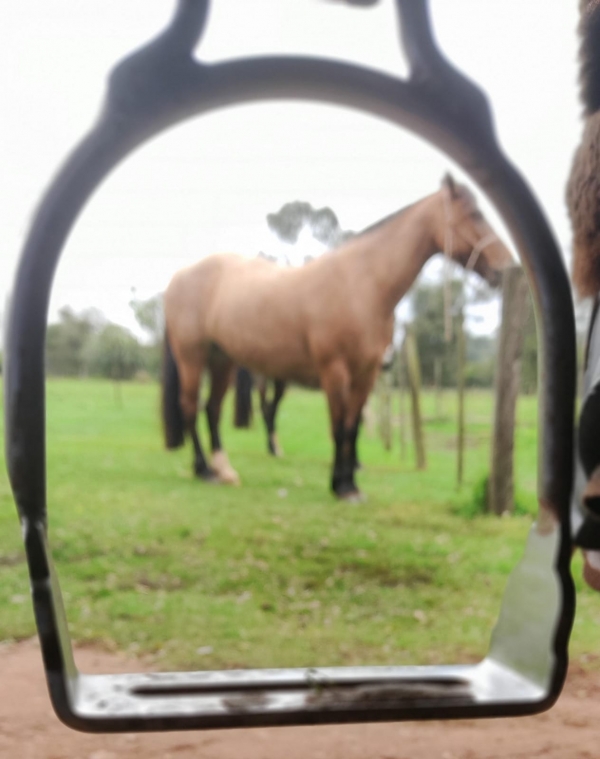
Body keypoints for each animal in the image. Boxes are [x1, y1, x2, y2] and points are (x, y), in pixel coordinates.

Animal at [162, 175, 512, 502]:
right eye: (474, 214)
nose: (505, 268)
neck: (362, 284)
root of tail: (179, 277)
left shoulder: (365, 375)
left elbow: (353, 428)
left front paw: (351, 484)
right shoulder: (335, 372)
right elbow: (340, 428)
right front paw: (340, 486)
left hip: (222, 361)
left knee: (212, 410)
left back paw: (224, 470)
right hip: (192, 358)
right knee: (190, 407)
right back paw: (204, 470)